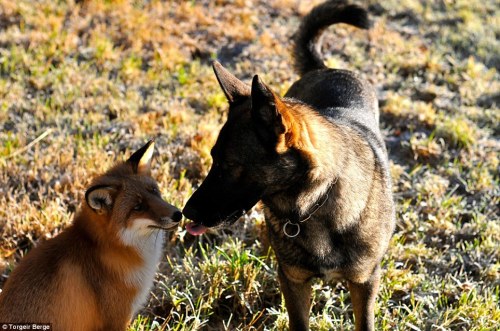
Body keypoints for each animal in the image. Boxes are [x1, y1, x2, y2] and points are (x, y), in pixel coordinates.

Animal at [183, 1, 394, 330]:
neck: (315, 203)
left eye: (228, 163)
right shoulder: (293, 281)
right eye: (212, 157)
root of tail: (324, 68)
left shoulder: (365, 282)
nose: (185, 212)